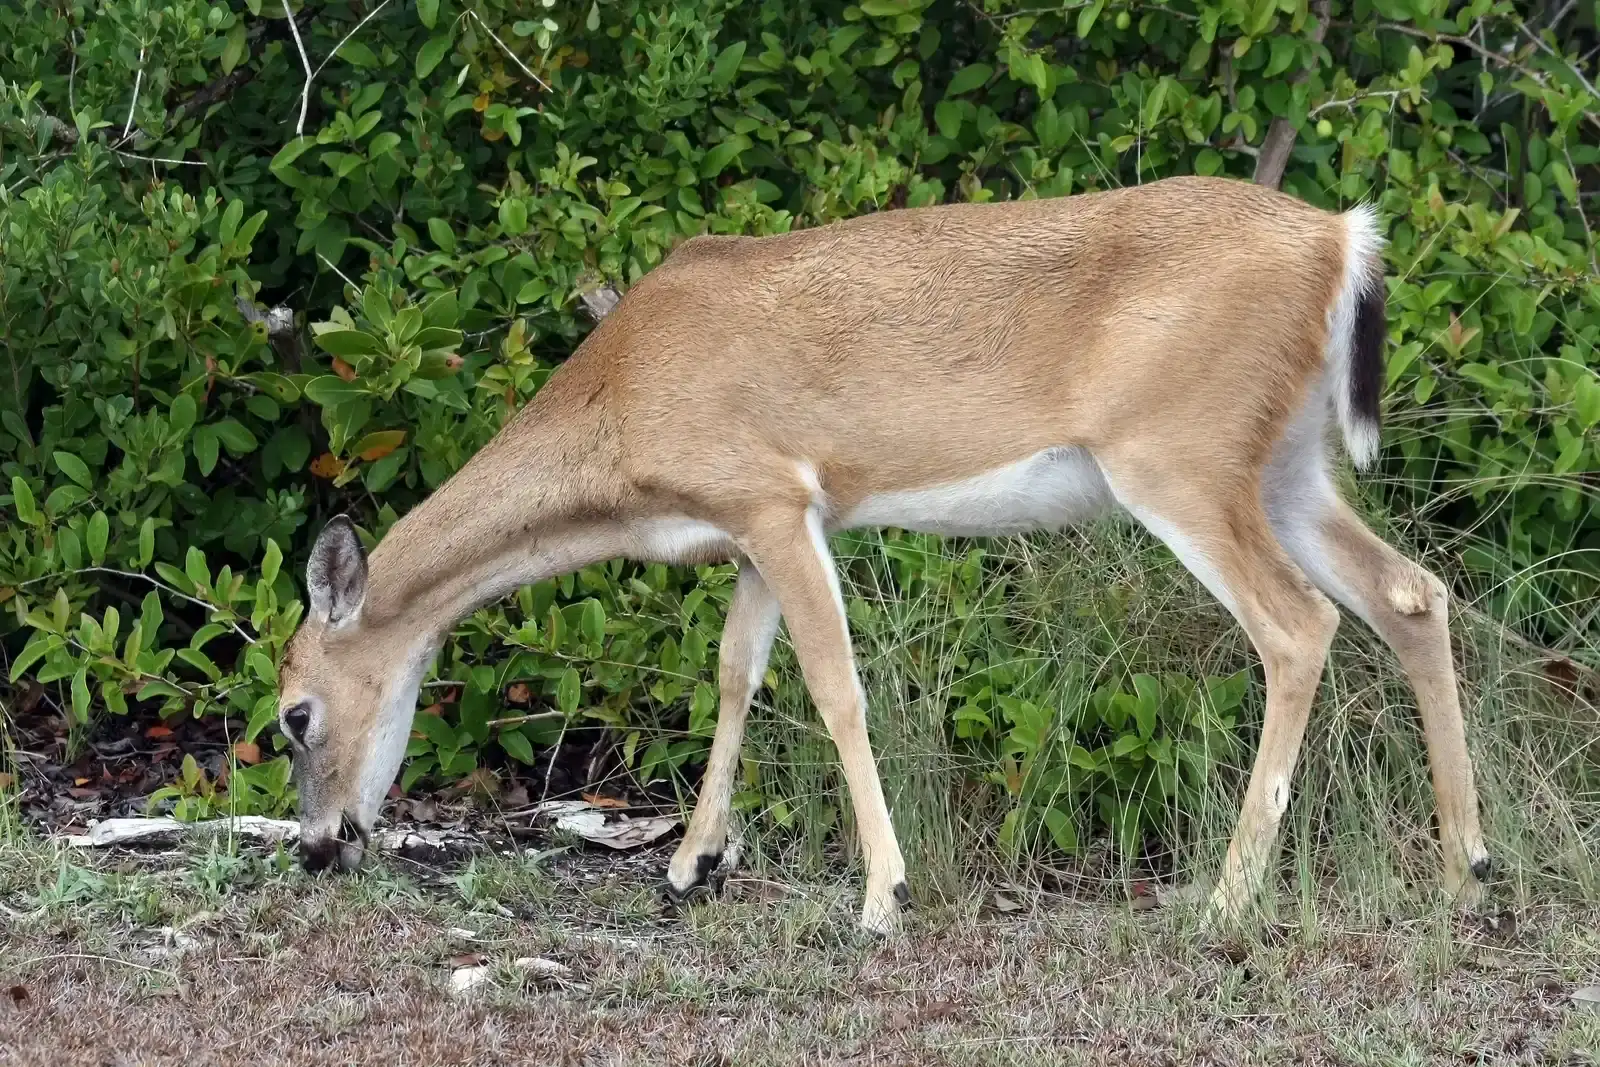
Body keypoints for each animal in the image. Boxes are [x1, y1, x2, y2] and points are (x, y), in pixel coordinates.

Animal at [274, 175, 1491, 935]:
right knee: (1410, 591)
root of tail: (1342, 238)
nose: (319, 848)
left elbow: (832, 686)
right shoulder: (757, 525)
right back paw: (1463, 869)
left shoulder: (773, 494)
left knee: (1299, 624)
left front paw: (880, 897)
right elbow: (736, 671)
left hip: (1179, 454)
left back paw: (1231, 895)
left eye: (294, 713)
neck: (619, 414)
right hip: (1284, 465)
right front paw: (691, 863)